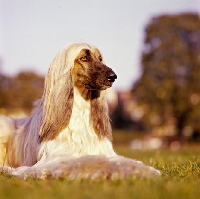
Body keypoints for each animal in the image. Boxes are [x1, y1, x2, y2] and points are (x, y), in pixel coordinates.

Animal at [0, 42, 160, 180]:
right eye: (84, 58)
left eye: (100, 58)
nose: (112, 76)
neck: (79, 112)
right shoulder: (56, 158)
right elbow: (89, 161)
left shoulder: (104, 150)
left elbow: (125, 161)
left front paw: (147, 170)